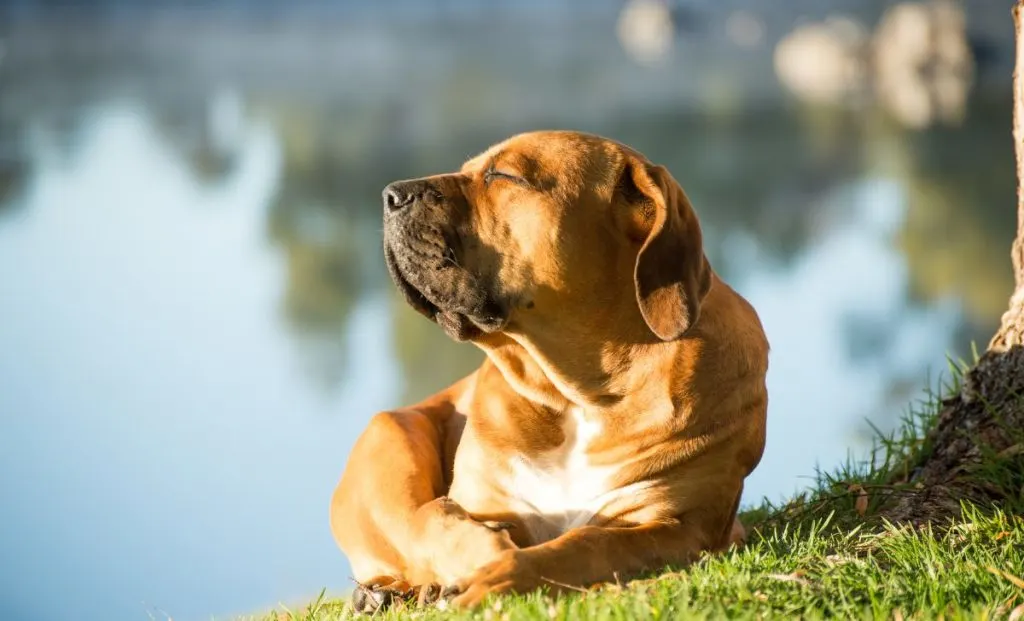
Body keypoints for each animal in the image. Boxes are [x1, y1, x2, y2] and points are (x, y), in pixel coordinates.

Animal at [327, 129, 770, 610]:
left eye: (503, 175)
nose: (391, 194)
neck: (576, 395)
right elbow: (436, 522)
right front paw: (482, 556)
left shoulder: (680, 524)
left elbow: (586, 544)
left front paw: (500, 575)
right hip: (391, 435)